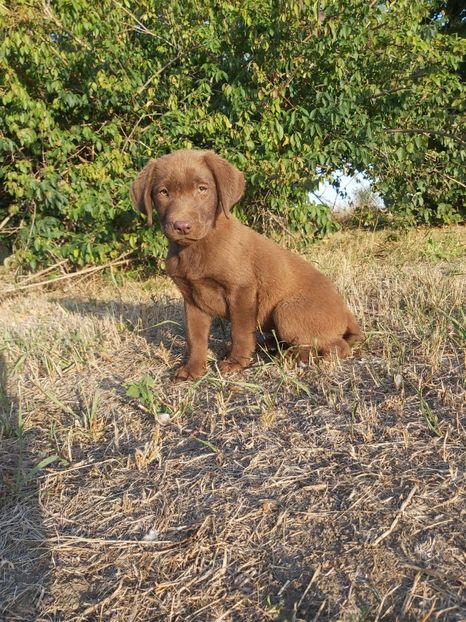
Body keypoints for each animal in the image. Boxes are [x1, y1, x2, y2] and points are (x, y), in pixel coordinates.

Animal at [129, 151, 362, 380]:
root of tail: (346, 312)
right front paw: (193, 369)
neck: (195, 249)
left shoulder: (241, 291)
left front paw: (235, 362)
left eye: (202, 189)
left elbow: (239, 331)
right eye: (163, 192)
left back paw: (296, 355)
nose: (182, 226)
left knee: (337, 345)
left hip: (287, 310)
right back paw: (272, 346)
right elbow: (195, 338)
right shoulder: (193, 300)